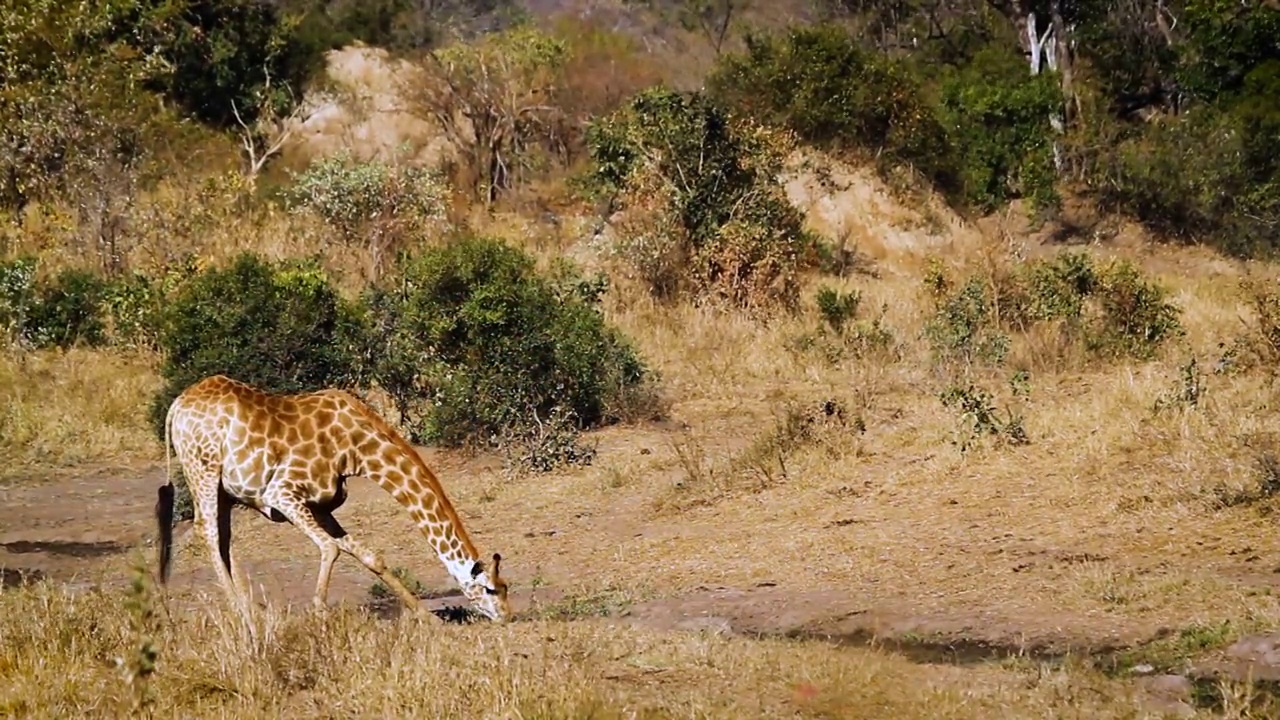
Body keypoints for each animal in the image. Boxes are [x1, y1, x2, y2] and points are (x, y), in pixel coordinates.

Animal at [151, 371, 509, 625]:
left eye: (505, 587)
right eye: (490, 589)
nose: (507, 617)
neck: (356, 448)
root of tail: (176, 407)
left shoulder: (320, 504)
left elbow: (368, 556)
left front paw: (424, 616)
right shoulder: (282, 493)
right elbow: (330, 548)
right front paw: (320, 613)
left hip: (224, 490)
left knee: (223, 538)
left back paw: (253, 607)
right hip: (203, 468)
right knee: (206, 530)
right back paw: (242, 611)